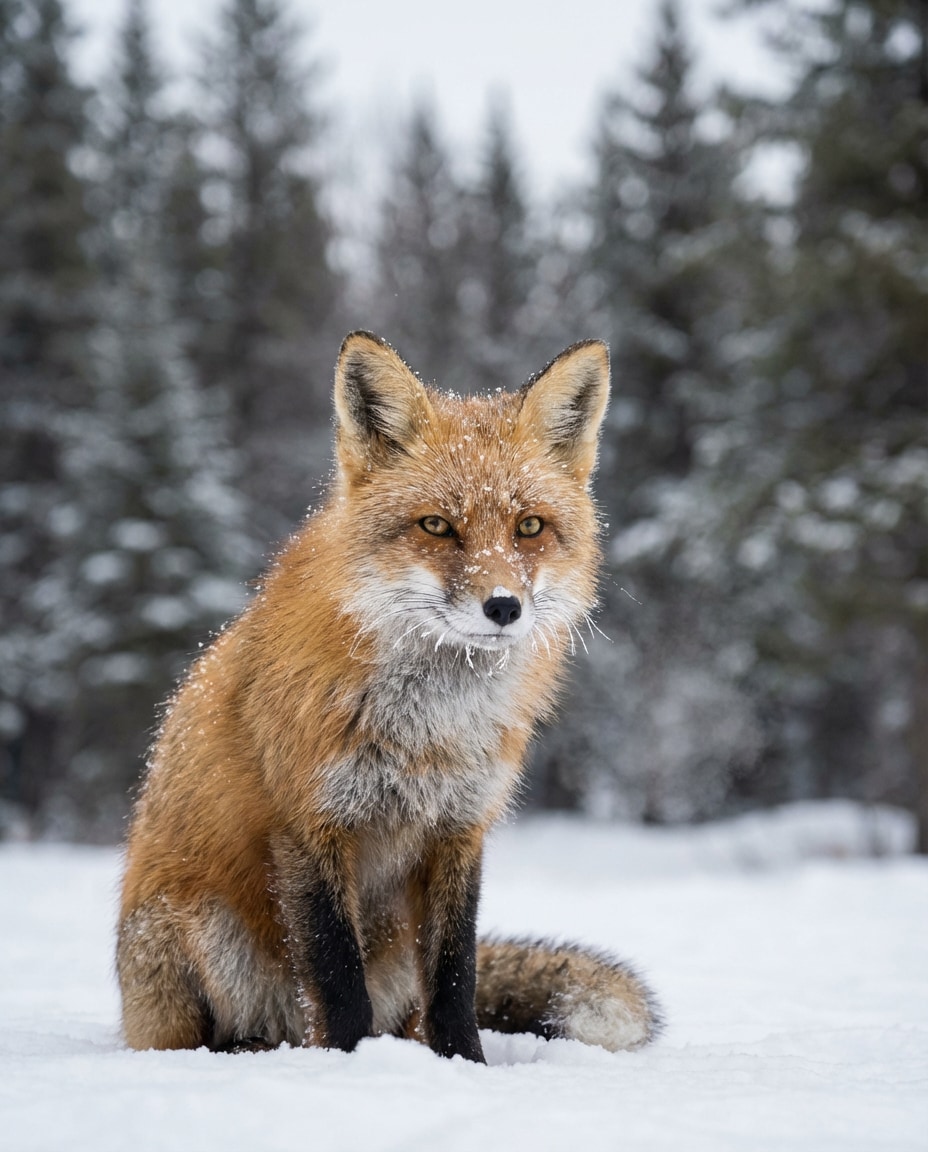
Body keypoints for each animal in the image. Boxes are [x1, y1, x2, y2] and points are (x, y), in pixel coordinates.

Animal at [116, 331, 662, 1062]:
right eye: (436, 525)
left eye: (528, 527)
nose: (503, 607)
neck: (429, 731)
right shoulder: (310, 825)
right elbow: (336, 978)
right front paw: (348, 1067)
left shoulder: (460, 828)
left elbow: (456, 978)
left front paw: (465, 1065)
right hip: (201, 925)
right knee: (224, 1032)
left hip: (394, 955)